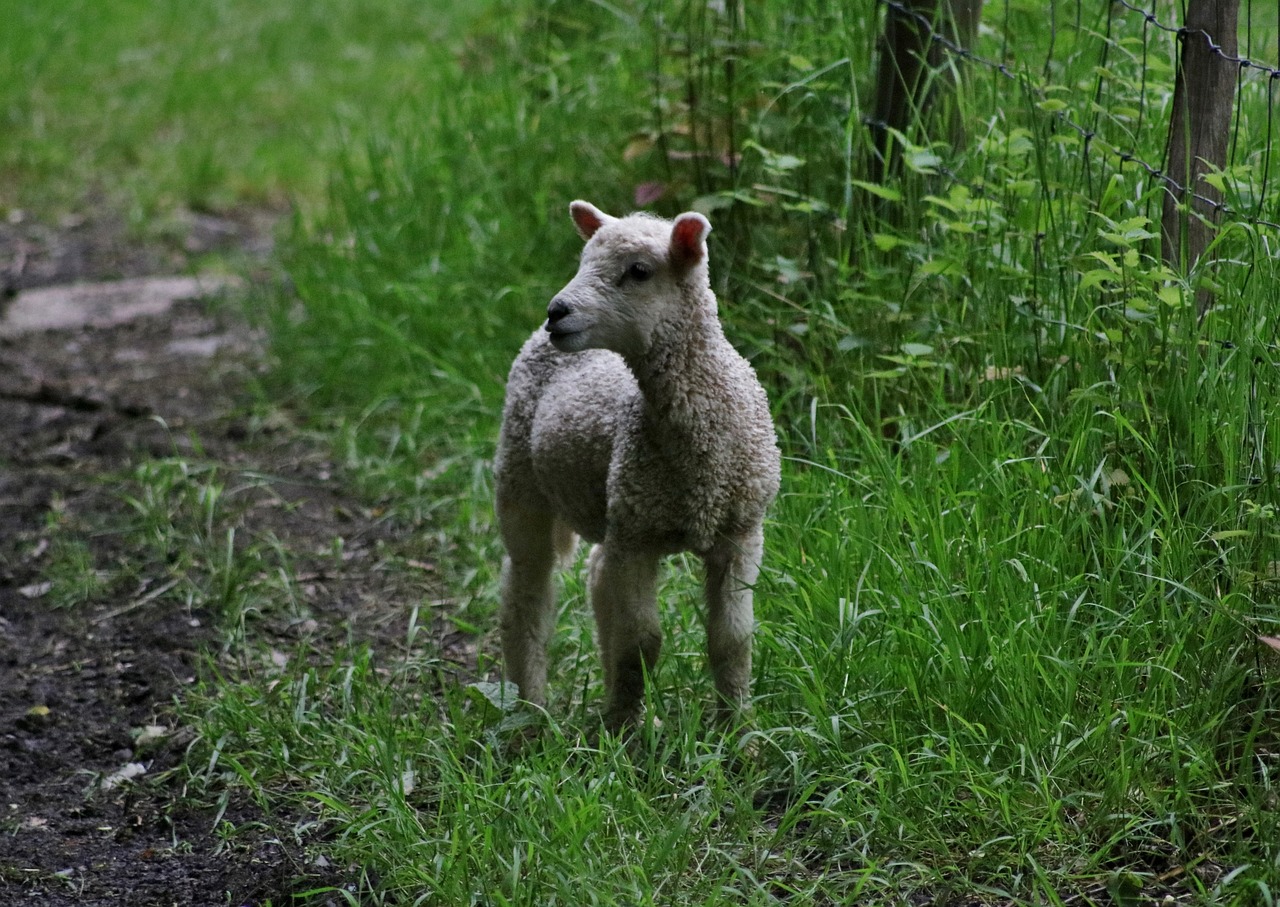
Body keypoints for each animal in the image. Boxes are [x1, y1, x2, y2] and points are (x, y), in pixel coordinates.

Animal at [494, 199, 778, 726]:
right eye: (584, 261)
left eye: (639, 271)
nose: (556, 312)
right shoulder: (639, 541)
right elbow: (642, 643)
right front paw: (629, 730)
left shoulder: (742, 532)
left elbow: (732, 640)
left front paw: (736, 728)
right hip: (521, 480)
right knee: (525, 596)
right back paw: (532, 711)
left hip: (616, 512)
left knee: (598, 577)